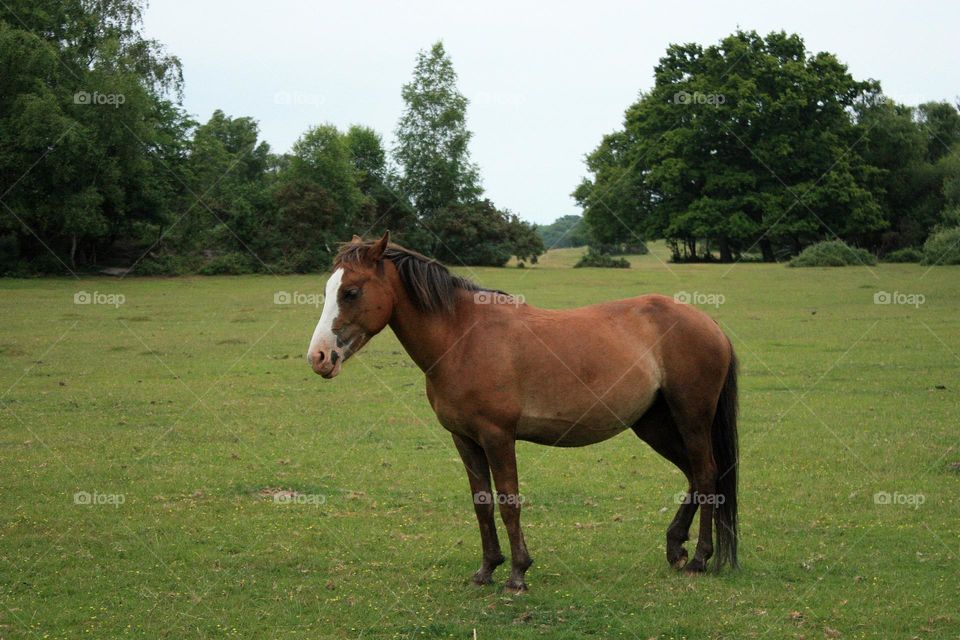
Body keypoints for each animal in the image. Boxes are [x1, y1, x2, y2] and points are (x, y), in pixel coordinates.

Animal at [307, 232, 739, 592]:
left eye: (351, 292)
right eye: (328, 290)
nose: (319, 357)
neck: (462, 337)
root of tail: (709, 323)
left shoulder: (498, 436)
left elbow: (509, 501)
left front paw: (517, 573)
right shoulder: (464, 439)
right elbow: (482, 503)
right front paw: (486, 569)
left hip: (691, 417)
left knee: (705, 473)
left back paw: (699, 559)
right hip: (654, 424)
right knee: (694, 475)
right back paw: (676, 548)